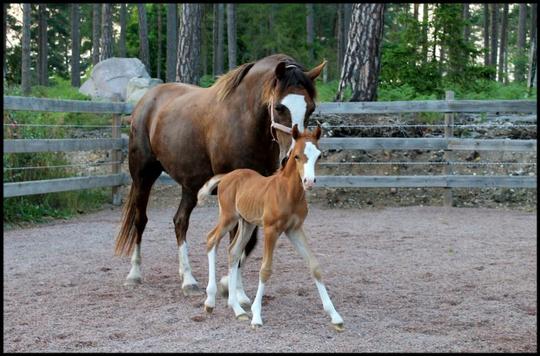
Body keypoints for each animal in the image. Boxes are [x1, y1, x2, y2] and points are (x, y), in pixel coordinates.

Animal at [196, 125, 344, 330]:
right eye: (296, 156)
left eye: (319, 155)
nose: (309, 181)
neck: (288, 193)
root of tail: (227, 176)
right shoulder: (271, 230)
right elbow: (265, 269)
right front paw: (257, 316)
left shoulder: (295, 229)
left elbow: (314, 266)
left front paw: (335, 316)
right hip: (229, 217)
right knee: (211, 240)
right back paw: (210, 301)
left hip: (247, 223)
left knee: (233, 252)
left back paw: (237, 309)